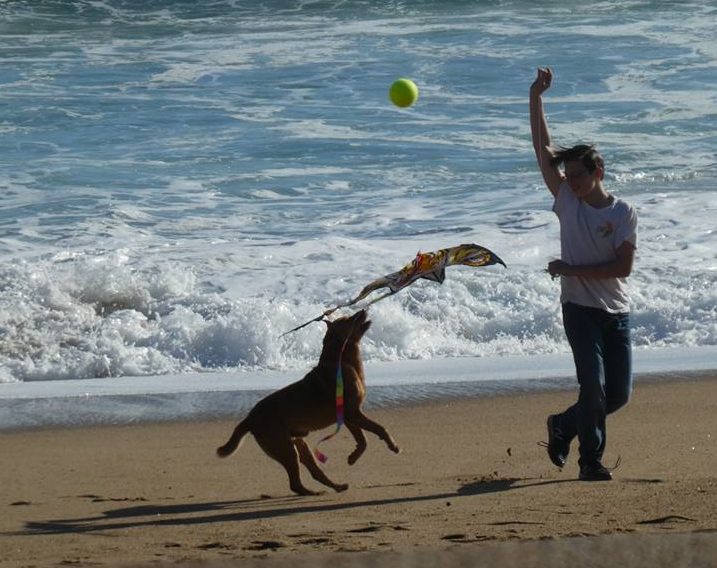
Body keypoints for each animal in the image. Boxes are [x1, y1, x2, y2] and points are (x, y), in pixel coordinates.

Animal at [215, 310, 400, 492]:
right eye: (348, 318)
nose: (363, 309)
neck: (341, 359)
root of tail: (250, 418)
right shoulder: (353, 413)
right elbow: (379, 428)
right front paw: (392, 445)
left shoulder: (348, 417)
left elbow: (363, 441)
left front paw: (353, 458)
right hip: (284, 447)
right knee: (295, 483)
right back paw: (313, 492)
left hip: (297, 443)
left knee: (314, 472)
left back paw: (336, 486)